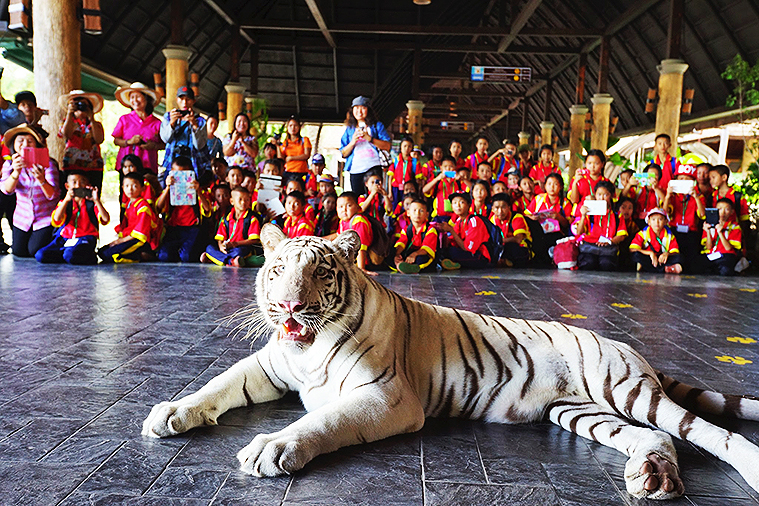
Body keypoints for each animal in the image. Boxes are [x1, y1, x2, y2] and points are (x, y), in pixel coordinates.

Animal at [144, 226, 759, 502]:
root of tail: (628, 347)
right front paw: (170, 412)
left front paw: (273, 447)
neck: (306, 350)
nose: (290, 307)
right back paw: (651, 475)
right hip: (579, 412)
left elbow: (321, 419)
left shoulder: (387, 397)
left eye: (319, 272)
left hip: (626, 390)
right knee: (659, 438)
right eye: (277, 271)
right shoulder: (266, 367)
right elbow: (216, 385)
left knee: (699, 430)